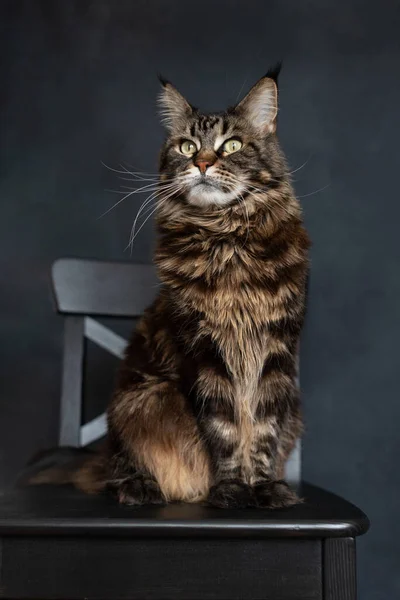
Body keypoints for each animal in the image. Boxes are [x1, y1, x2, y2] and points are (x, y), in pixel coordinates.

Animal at [34, 67, 310, 506]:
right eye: (187, 146)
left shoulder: (276, 352)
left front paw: (264, 487)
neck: (227, 242)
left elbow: (262, 432)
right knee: (118, 466)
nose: (202, 162)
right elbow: (225, 430)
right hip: (143, 399)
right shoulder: (204, 352)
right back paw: (142, 487)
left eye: (232, 145)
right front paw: (230, 489)